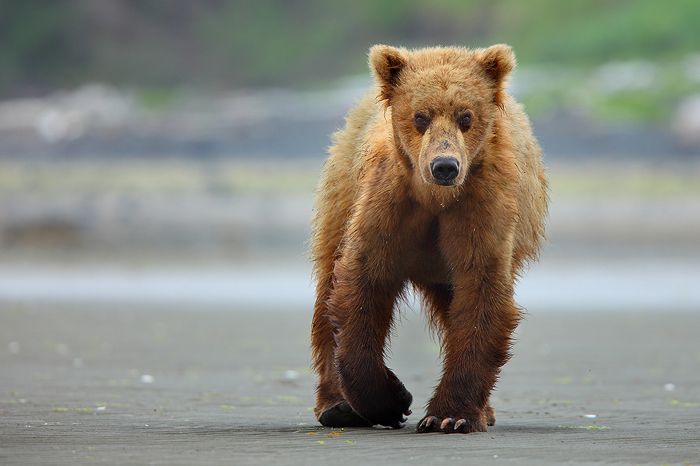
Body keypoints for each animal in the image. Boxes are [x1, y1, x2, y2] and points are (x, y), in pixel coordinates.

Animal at [310, 44, 548, 434]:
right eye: (420, 117)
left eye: (466, 117)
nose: (445, 166)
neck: (435, 200)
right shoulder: (389, 205)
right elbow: (362, 285)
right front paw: (392, 401)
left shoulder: (481, 207)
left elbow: (481, 294)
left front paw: (449, 415)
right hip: (341, 191)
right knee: (327, 279)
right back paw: (337, 406)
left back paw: (485, 410)